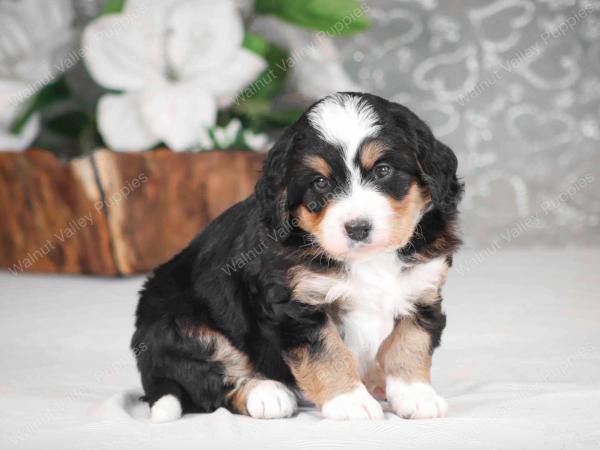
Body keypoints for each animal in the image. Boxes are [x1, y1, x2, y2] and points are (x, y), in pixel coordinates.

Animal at [131, 90, 462, 422]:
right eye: (320, 182)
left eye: (383, 170)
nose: (357, 228)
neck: (368, 260)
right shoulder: (296, 306)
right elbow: (328, 353)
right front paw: (350, 401)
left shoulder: (422, 290)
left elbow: (410, 342)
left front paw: (416, 394)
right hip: (180, 325)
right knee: (209, 379)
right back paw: (266, 393)